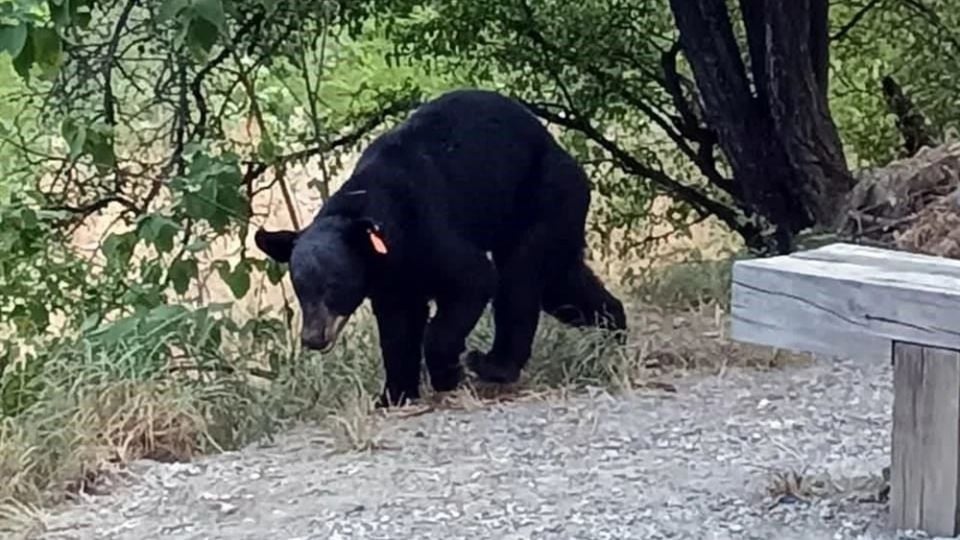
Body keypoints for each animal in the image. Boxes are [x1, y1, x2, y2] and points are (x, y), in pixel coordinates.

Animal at [255, 88, 628, 408]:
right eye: (300, 288)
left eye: (334, 286)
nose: (313, 338)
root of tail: (564, 154)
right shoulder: (390, 278)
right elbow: (397, 328)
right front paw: (394, 394)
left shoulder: (429, 230)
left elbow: (473, 280)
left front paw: (446, 373)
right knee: (560, 285)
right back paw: (614, 331)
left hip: (545, 197)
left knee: (519, 278)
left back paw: (494, 364)